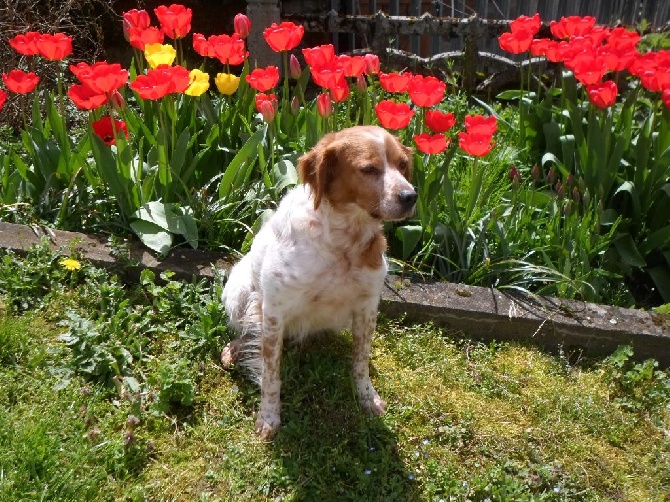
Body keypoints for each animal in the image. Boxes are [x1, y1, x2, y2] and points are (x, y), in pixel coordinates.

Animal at [223, 126, 418, 440]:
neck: (343, 242)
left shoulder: (367, 306)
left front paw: (367, 398)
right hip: (238, 288)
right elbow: (270, 375)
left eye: (402, 165)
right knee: (244, 330)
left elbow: (360, 361)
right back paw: (233, 349)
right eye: (369, 169)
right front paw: (269, 417)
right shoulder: (274, 310)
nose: (410, 196)